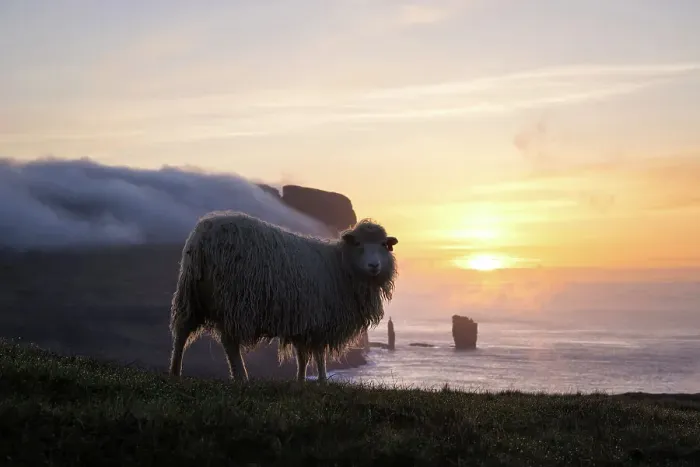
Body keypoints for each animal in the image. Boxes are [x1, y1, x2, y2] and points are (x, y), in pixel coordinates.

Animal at [168, 211, 399, 382]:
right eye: (358, 244)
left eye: (383, 245)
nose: (374, 265)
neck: (340, 266)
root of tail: (202, 237)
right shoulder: (320, 319)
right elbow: (319, 354)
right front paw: (323, 380)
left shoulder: (301, 321)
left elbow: (302, 355)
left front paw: (301, 380)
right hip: (234, 300)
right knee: (229, 342)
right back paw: (241, 376)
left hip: (191, 295)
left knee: (181, 333)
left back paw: (175, 372)